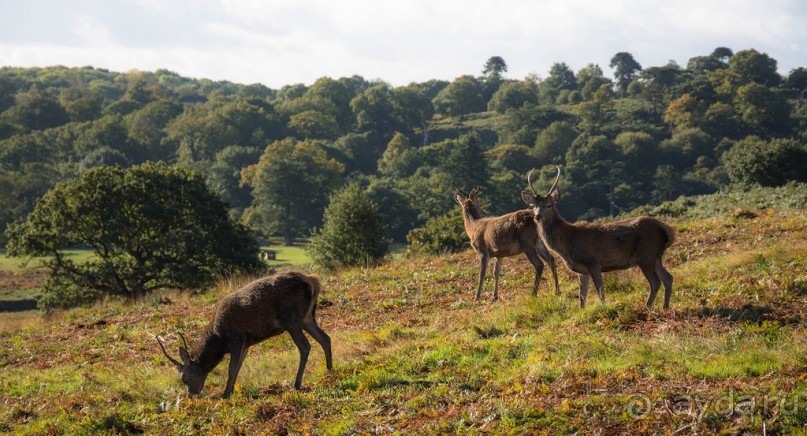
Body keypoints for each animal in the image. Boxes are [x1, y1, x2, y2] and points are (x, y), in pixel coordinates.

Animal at [156, 272, 332, 398]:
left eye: (183, 379)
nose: (191, 396)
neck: (219, 339)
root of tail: (313, 281)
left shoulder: (236, 338)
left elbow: (231, 369)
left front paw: (225, 394)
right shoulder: (246, 344)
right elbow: (238, 367)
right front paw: (232, 391)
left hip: (291, 318)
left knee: (305, 346)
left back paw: (297, 384)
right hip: (307, 317)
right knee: (325, 338)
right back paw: (329, 372)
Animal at [520, 165, 680, 308]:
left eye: (548, 205)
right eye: (533, 206)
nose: (537, 216)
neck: (567, 243)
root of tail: (667, 230)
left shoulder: (593, 262)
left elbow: (600, 292)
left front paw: (604, 309)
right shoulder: (581, 270)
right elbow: (582, 298)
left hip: (646, 254)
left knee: (656, 282)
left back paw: (648, 307)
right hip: (656, 256)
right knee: (668, 277)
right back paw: (665, 307)